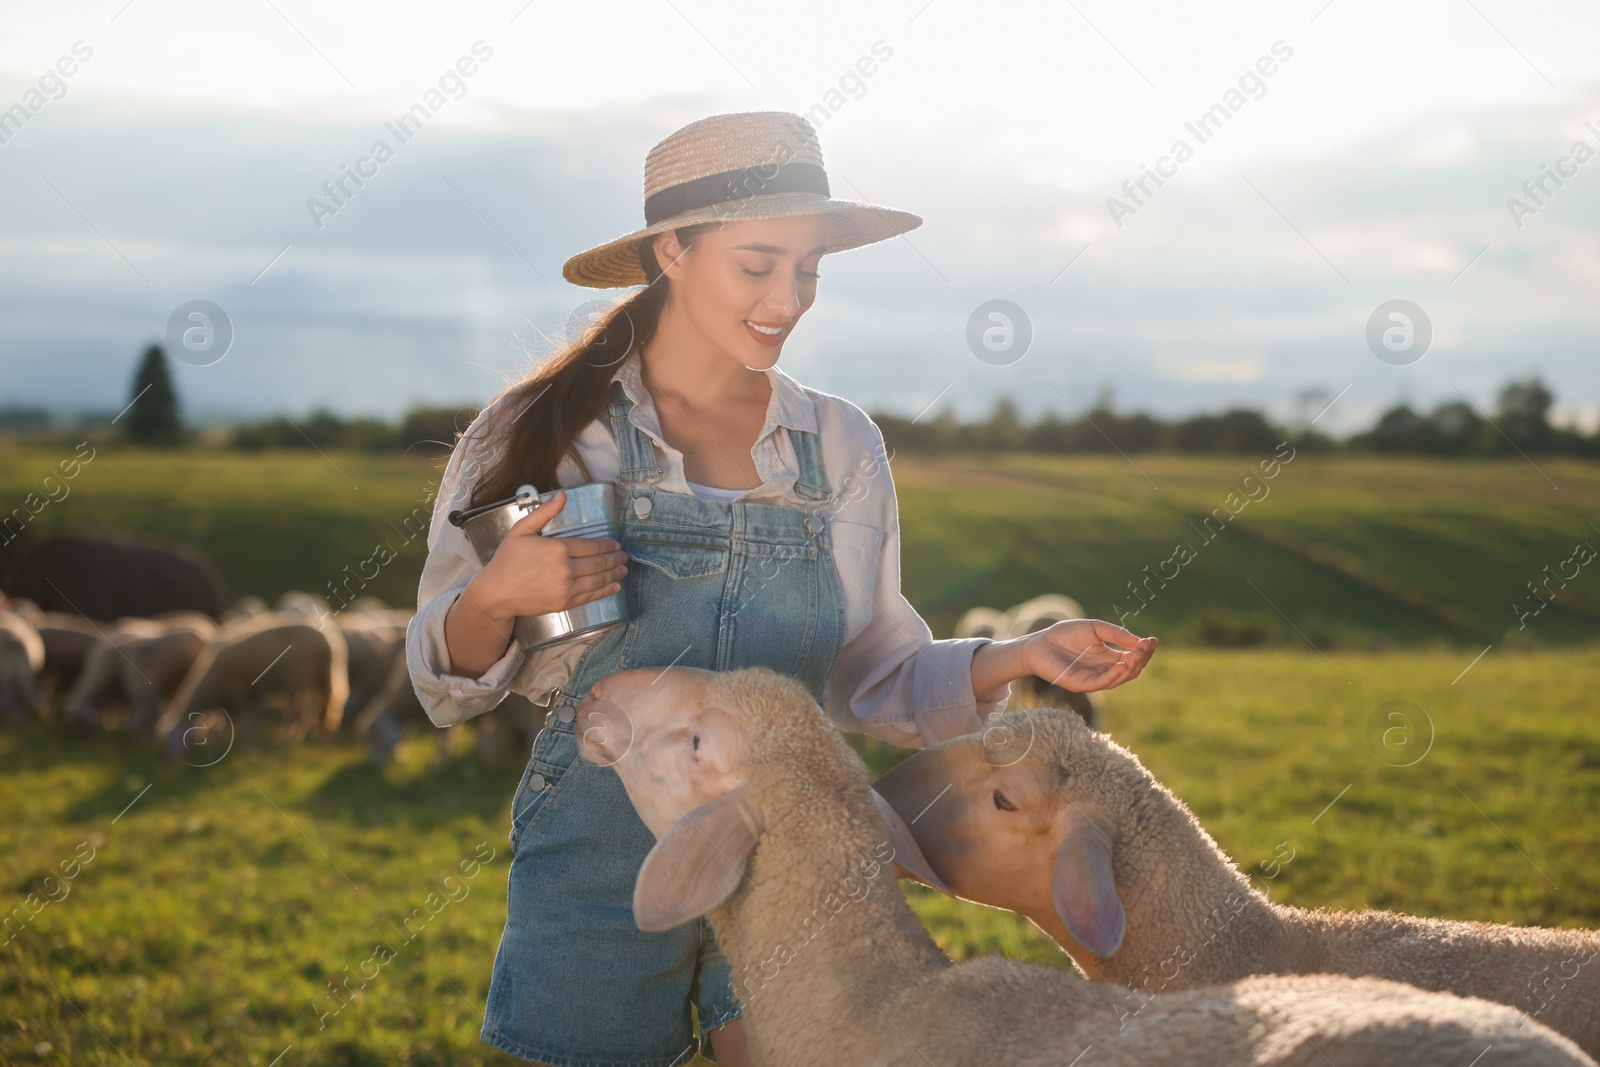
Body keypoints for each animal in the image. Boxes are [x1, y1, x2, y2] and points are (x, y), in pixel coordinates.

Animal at [155, 614, 347, 755]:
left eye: (175, 738)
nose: (174, 764)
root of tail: (324, 641)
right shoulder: (244, 698)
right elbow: (225, 727)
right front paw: (216, 750)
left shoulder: (240, 694)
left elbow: (245, 725)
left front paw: (247, 751)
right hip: (319, 675)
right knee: (323, 710)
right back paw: (321, 740)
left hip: (294, 680)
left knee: (298, 716)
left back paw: (284, 748)